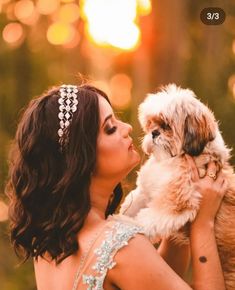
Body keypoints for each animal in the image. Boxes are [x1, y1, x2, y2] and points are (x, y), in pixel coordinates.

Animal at [119, 84, 235, 290]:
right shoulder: (146, 190)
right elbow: (132, 204)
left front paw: (127, 224)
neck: (169, 161)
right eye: (151, 124)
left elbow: (145, 219)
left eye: (166, 126)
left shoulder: (176, 200)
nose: (154, 133)